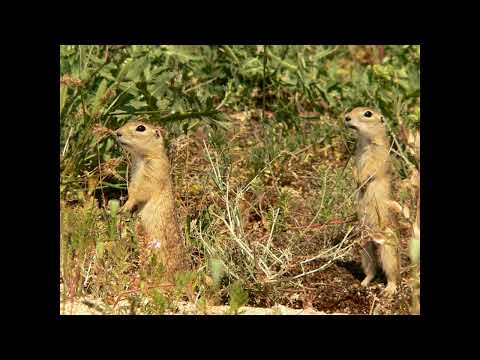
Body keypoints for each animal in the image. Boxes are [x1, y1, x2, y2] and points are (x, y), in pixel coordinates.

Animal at [115, 119, 188, 282]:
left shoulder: (153, 171)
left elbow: (139, 193)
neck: (141, 157)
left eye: (141, 128)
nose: (117, 132)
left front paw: (124, 208)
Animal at [346, 106, 400, 296]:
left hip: (388, 249)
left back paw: (389, 289)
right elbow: (354, 167)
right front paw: (355, 180)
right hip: (364, 246)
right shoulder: (356, 155)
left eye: (367, 114)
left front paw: (361, 180)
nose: (346, 117)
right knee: (372, 269)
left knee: (392, 273)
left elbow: (370, 169)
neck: (365, 142)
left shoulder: (377, 155)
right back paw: (363, 283)